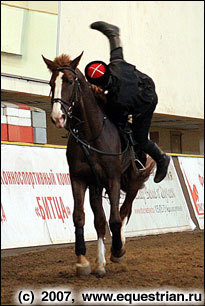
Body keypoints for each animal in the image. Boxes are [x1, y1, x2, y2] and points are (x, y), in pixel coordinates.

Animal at [42, 52, 154, 278]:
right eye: (51, 83)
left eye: (69, 81)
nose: (58, 116)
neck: (91, 135)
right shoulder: (79, 179)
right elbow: (80, 217)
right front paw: (82, 261)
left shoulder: (113, 179)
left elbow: (115, 219)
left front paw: (117, 250)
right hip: (96, 187)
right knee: (100, 221)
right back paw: (100, 263)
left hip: (132, 181)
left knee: (124, 211)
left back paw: (118, 248)